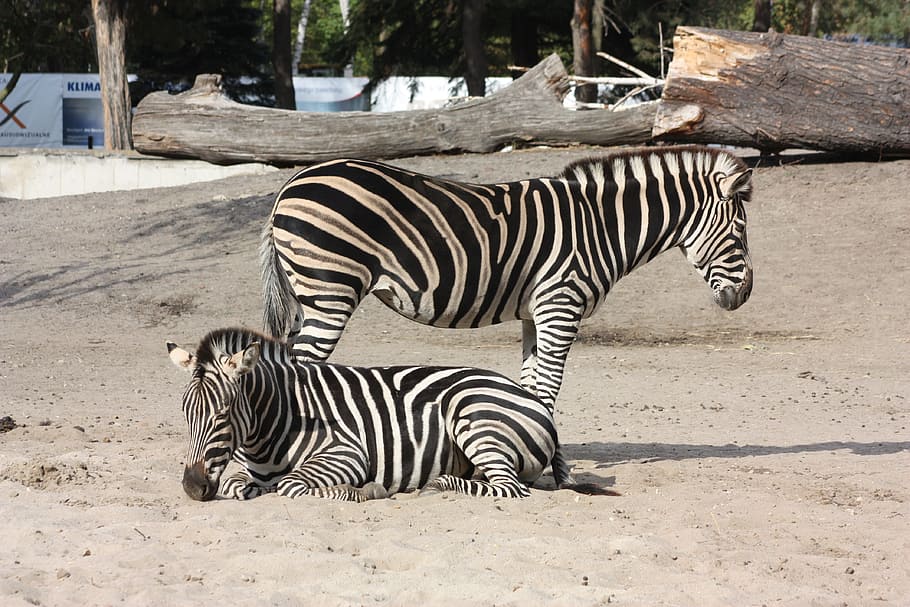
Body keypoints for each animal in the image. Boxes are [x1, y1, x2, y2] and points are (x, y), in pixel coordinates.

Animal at [167, 327, 613, 501]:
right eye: (185, 414)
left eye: (223, 414)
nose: (192, 488)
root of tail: (534, 400)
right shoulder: (244, 472)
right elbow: (236, 484)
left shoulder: (346, 453)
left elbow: (291, 486)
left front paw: (364, 491)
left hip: (473, 415)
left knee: (510, 489)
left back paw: (437, 484)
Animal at [260, 145, 753, 412]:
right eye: (740, 231)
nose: (745, 295)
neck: (600, 226)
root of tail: (291, 184)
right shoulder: (561, 305)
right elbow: (549, 387)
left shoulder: (537, 314)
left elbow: (533, 386)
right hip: (331, 292)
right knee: (296, 369)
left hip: (312, 295)